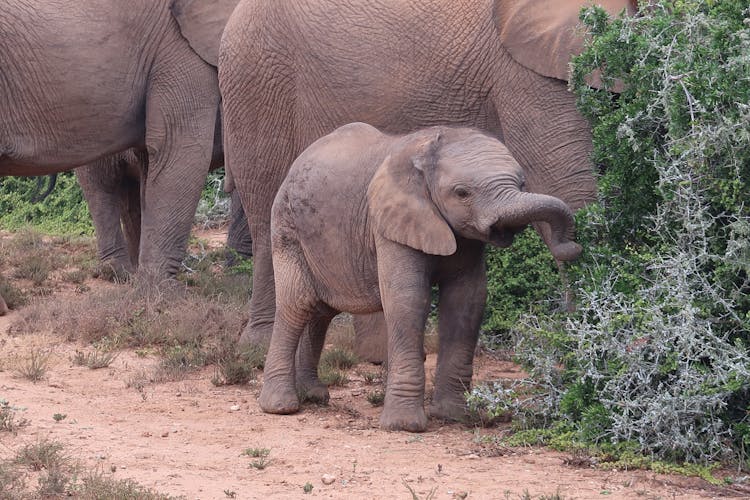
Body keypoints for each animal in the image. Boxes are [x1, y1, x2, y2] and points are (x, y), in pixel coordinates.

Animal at [0, 0, 239, 278]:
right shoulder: (176, 47)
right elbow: (179, 148)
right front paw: (160, 288)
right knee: (103, 183)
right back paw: (121, 273)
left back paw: (120, 273)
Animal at [220, 0, 636, 346]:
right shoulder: (524, 69)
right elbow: (568, 184)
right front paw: (588, 345)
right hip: (256, 78)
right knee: (265, 205)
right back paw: (259, 344)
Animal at [262, 123, 584, 432]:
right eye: (462, 193)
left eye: (521, 184)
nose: (572, 247)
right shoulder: (390, 223)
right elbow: (408, 298)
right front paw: (404, 426)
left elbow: (467, 301)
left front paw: (454, 416)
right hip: (286, 225)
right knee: (298, 304)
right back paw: (281, 406)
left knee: (321, 311)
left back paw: (314, 395)